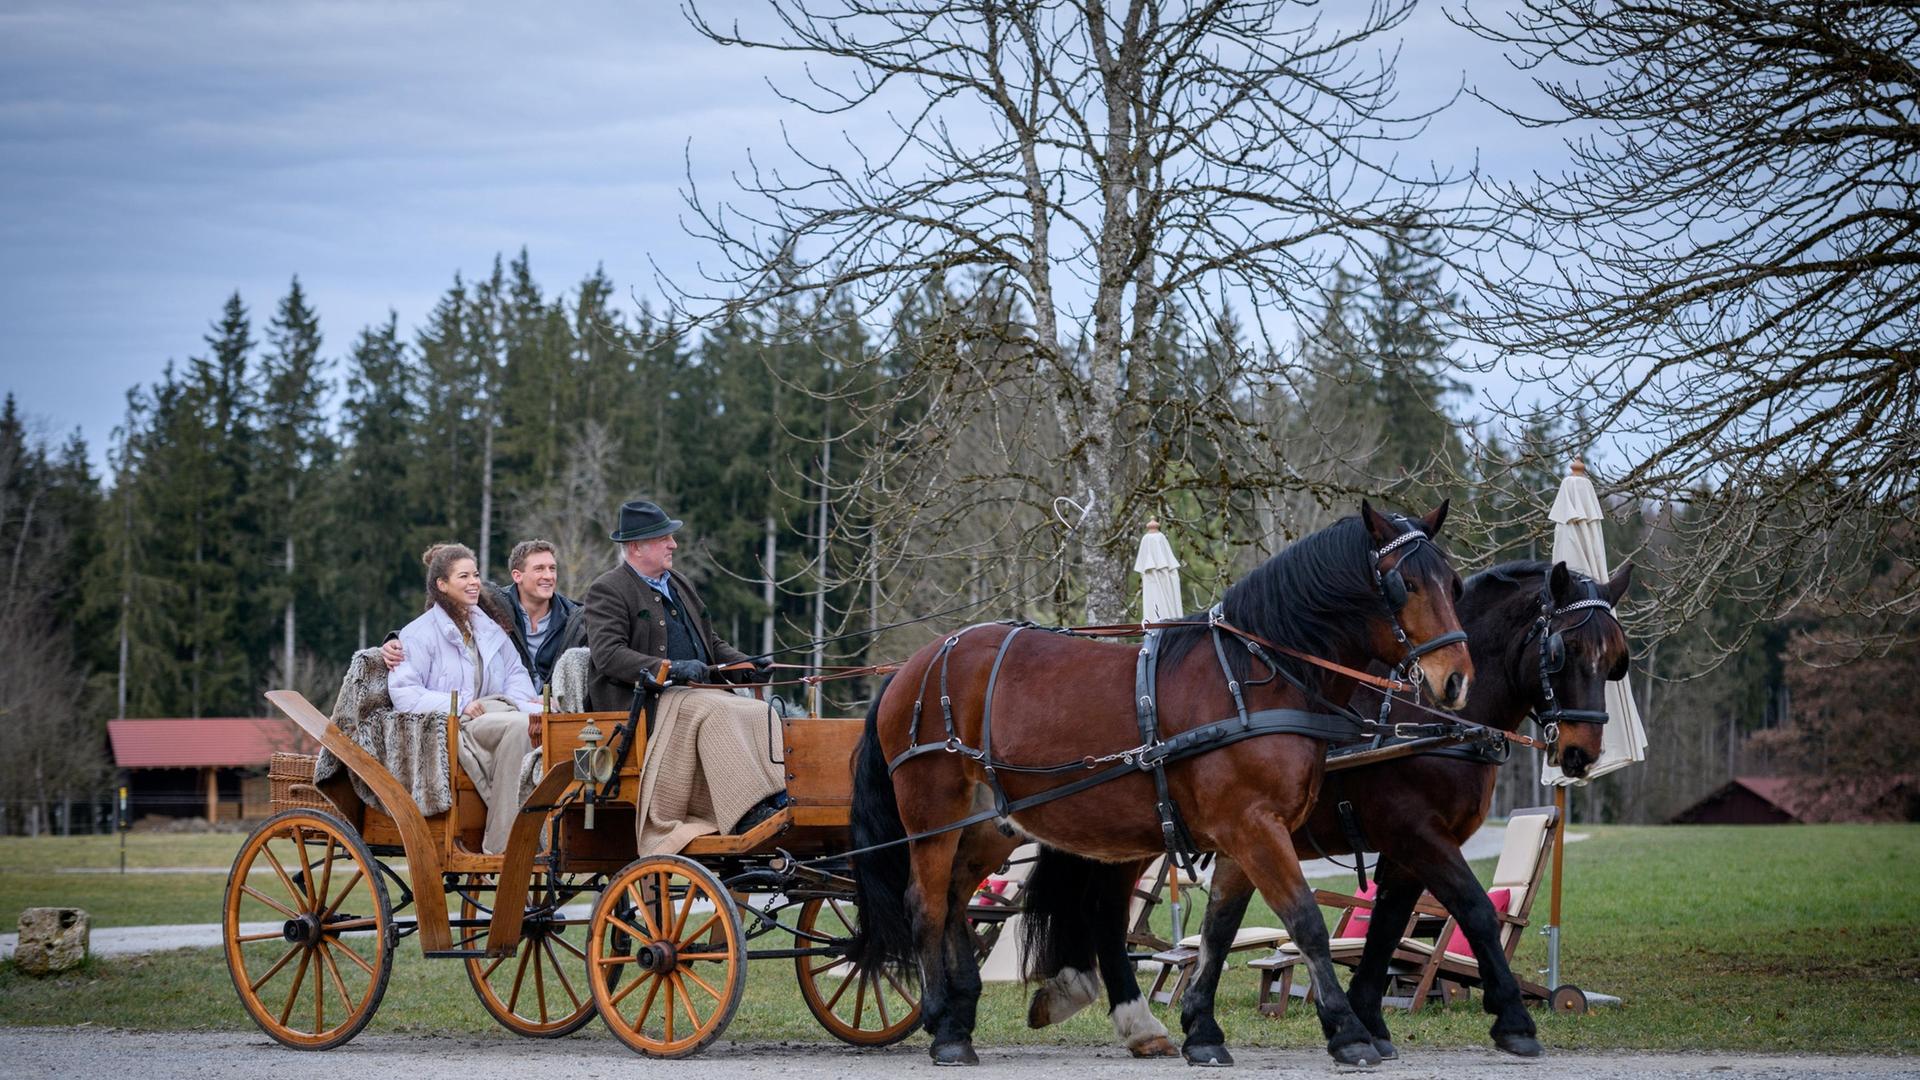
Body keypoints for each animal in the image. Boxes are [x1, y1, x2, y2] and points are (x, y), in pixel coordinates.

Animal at [852, 503, 1466, 1060]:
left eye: (1453, 583)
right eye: (1406, 584)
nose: (1457, 680)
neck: (1254, 679)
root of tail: (914, 666)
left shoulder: (1242, 835)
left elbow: (1219, 930)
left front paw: (1204, 1031)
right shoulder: (1254, 826)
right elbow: (1305, 921)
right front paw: (1348, 1032)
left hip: (989, 825)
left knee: (957, 898)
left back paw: (963, 1012)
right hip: (933, 817)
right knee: (926, 905)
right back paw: (944, 1026)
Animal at [1029, 557, 1628, 1060]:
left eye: (1616, 661)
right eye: (1564, 652)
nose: (1582, 753)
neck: (1423, 717)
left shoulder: (1402, 849)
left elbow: (1385, 927)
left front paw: (1367, 1021)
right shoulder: (1418, 833)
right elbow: (1476, 910)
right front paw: (1513, 1020)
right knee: (1106, 913)